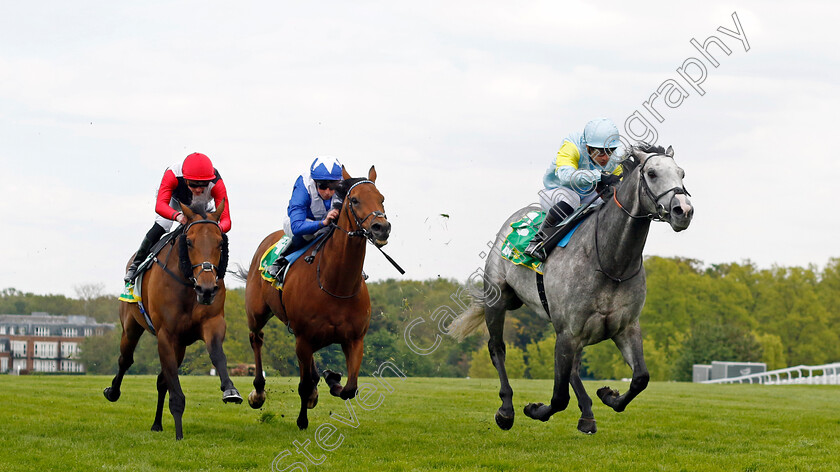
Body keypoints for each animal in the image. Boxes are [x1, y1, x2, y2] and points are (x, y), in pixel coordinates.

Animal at [104, 201, 241, 440]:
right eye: (189, 241)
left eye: (220, 243)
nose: (206, 289)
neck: (188, 285)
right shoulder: (166, 335)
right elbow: (175, 391)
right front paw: (179, 434)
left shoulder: (212, 322)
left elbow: (217, 354)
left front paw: (230, 389)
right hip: (131, 326)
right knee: (125, 359)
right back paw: (113, 392)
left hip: (180, 345)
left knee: (162, 380)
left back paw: (157, 424)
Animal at [240, 165, 390, 428]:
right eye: (354, 199)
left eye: (381, 198)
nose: (381, 227)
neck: (337, 285)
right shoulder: (304, 338)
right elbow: (303, 385)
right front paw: (302, 420)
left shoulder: (354, 339)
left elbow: (350, 388)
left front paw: (332, 378)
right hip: (258, 314)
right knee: (256, 339)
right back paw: (258, 392)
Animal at [452, 142, 696, 434]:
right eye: (651, 173)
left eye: (682, 173)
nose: (684, 210)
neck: (611, 262)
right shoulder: (568, 332)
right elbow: (558, 397)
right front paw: (534, 410)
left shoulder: (624, 327)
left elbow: (640, 378)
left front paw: (608, 395)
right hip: (496, 300)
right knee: (497, 348)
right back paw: (506, 410)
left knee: (576, 368)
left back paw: (588, 413)